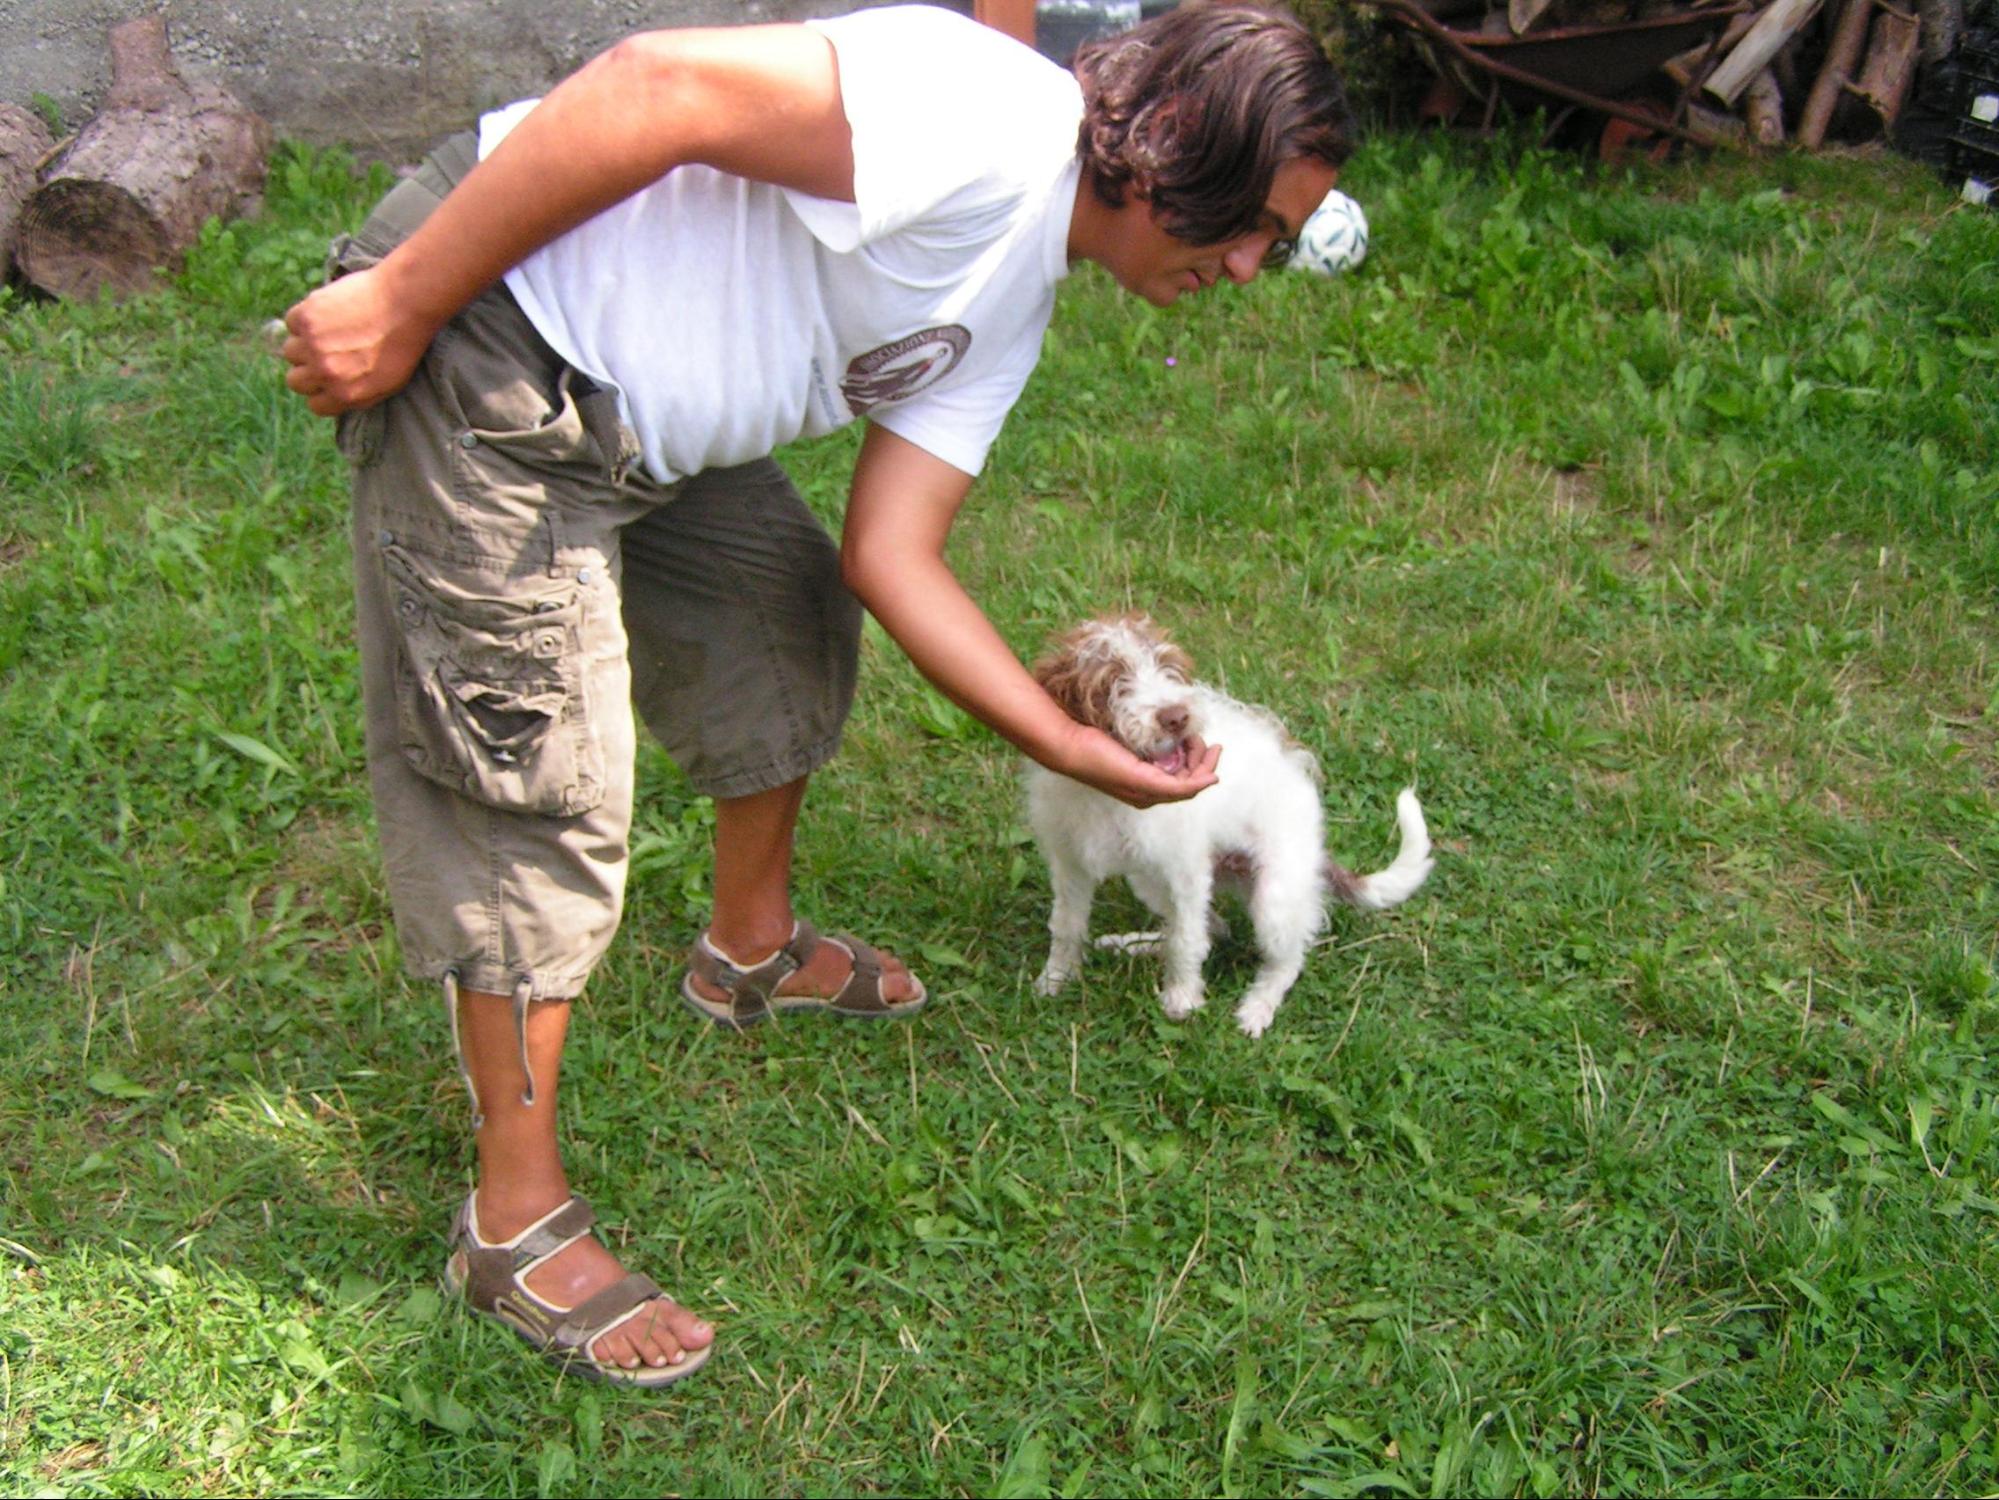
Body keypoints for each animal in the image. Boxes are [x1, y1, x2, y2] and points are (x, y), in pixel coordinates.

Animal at [1023, 612, 1431, 1032]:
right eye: (1110, 681)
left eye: (1167, 666)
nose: (1176, 717)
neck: (1106, 798)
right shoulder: (1069, 864)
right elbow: (1066, 925)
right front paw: (1055, 978)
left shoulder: (1186, 871)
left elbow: (1187, 941)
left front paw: (1183, 998)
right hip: (1148, 881)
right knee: (1214, 927)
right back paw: (1131, 944)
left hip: (1274, 899)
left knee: (1285, 959)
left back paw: (1258, 1006)